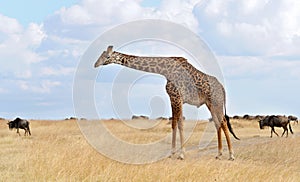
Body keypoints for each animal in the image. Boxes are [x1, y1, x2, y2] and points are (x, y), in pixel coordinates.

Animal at [94, 45, 239, 161]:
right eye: (101, 55)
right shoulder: (172, 98)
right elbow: (174, 123)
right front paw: (172, 153)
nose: (95, 64)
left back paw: (231, 155)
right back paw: (219, 154)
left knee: (223, 122)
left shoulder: (177, 97)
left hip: (216, 103)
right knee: (217, 123)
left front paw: (181, 154)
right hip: (210, 104)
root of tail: (222, 88)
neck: (164, 70)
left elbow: (180, 124)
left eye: (107, 56)